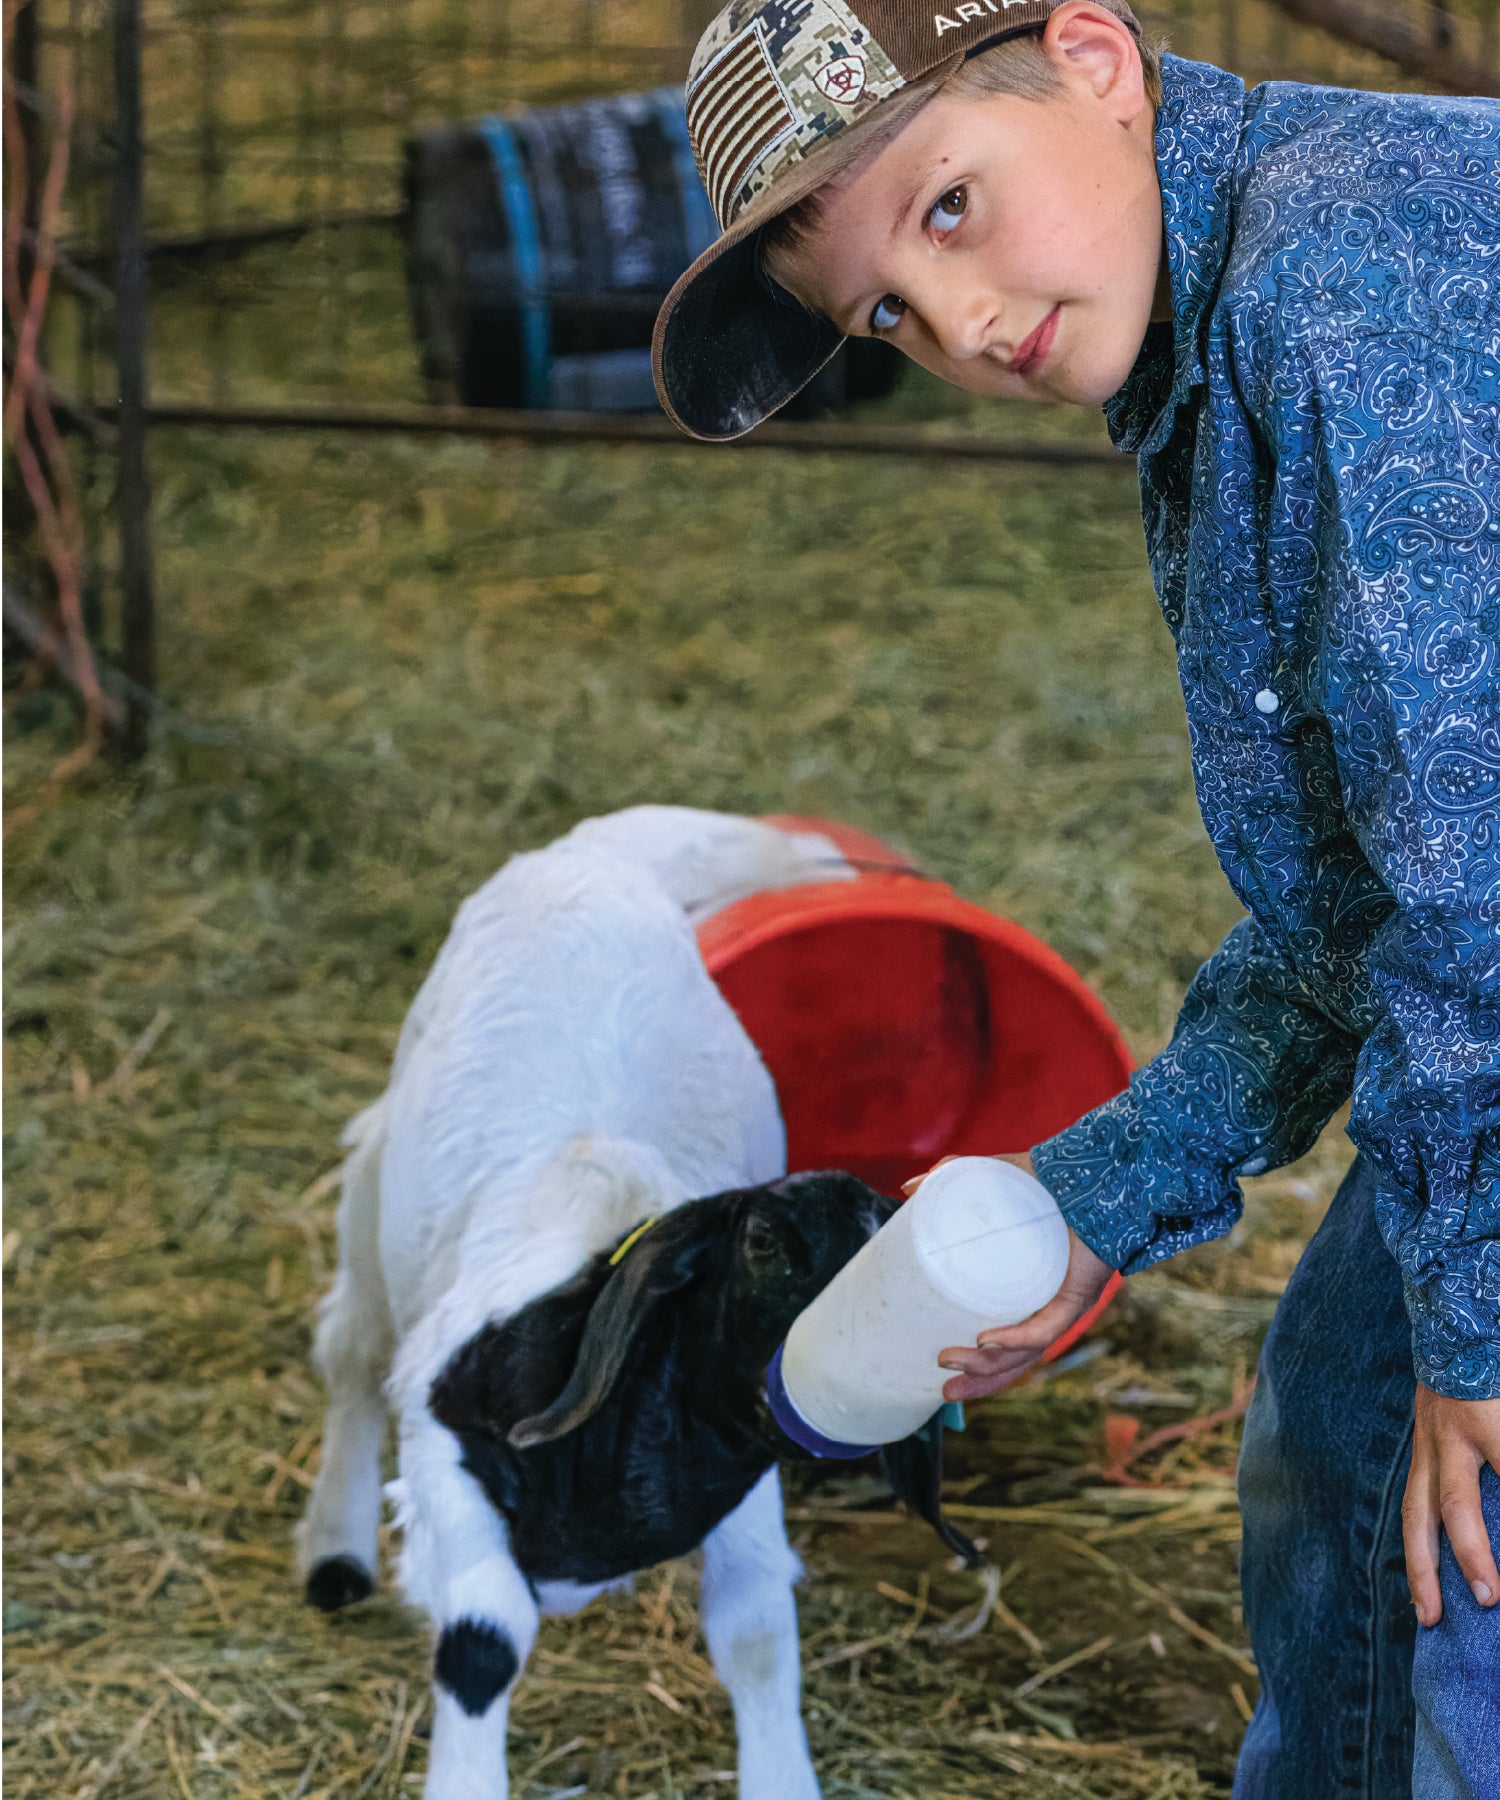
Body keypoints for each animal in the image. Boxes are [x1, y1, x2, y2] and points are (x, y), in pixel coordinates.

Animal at [297, 806, 973, 1800]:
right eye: (761, 1244)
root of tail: (602, 851)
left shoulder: (745, 1479)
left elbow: (758, 1635)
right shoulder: (441, 1447)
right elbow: (483, 1642)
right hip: (378, 1176)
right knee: (352, 1356)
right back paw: (333, 1551)